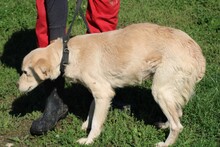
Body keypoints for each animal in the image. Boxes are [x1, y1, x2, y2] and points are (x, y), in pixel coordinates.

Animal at [17, 23, 206, 146]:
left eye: (25, 72)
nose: (17, 86)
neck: (68, 53)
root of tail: (197, 52)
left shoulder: (103, 93)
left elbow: (96, 123)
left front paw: (89, 140)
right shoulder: (100, 92)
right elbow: (91, 111)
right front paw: (86, 125)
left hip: (160, 91)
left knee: (177, 125)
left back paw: (166, 143)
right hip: (168, 91)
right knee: (177, 113)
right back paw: (165, 125)